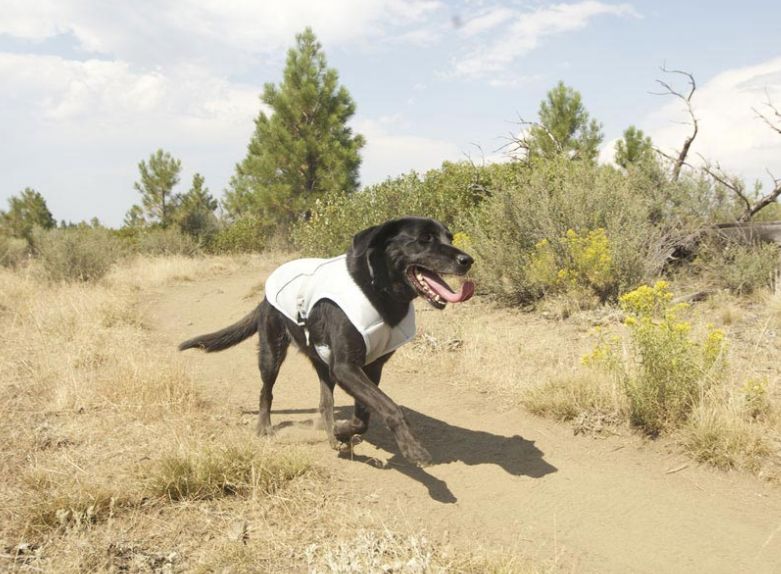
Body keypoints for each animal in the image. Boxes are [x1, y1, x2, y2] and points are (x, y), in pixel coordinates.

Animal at [180, 217, 472, 468]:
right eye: (424, 239)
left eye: (449, 237)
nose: (467, 260)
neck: (379, 290)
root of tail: (264, 297)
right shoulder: (345, 367)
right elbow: (390, 407)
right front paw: (413, 448)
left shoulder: (369, 368)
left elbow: (364, 414)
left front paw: (343, 431)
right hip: (273, 351)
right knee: (266, 391)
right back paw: (264, 427)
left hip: (322, 359)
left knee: (325, 402)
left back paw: (332, 434)